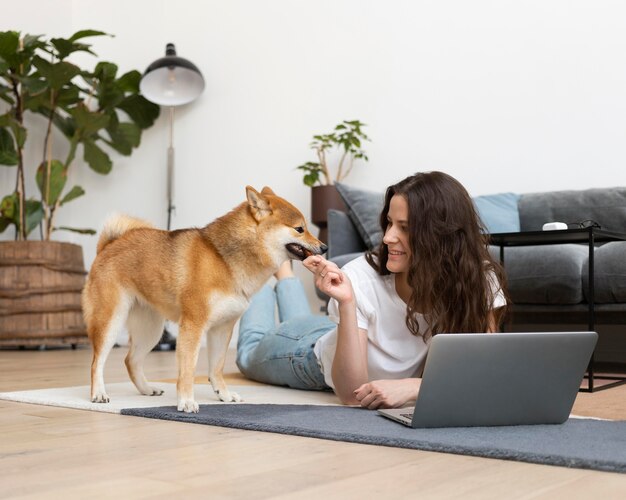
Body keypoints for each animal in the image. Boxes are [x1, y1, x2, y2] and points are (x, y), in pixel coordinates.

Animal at [81, 186, 326, 412]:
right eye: (299, 229)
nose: (324, 247)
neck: (223, 260)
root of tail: (107, 246)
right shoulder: (193, 325)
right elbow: (188, 369)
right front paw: (186, 401)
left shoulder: (222, 328)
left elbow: (216, 368)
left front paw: (224, 395)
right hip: (111, 321)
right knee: (96, 362)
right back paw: (99, 394)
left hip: (150, 330)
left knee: (130, 360)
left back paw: (147, 389)